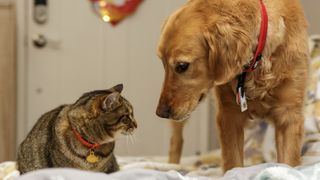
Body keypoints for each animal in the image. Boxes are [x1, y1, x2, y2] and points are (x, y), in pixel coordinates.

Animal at [156, 0, 308, 172]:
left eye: (182, 66)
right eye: (163, 64)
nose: (160, 113)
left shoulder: (288, 116)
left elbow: (288, 162)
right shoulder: (229, 115)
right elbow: (233, 162)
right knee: (176, 140)